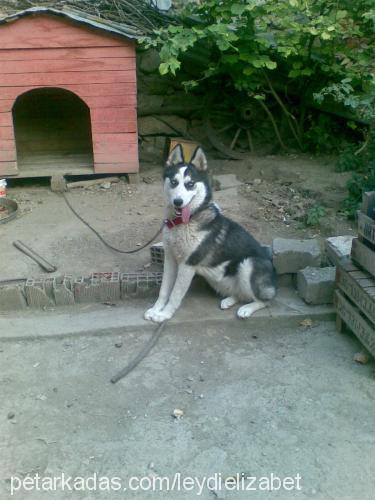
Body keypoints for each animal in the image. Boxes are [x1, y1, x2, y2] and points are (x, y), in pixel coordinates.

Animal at [145, 144, 278, 324]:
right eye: (174, 182)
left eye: (190, 184)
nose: (178, 202)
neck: (184, 222)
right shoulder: (170, 259)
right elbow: (164, 290)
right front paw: (155, 309)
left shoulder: (188, 265)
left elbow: (175, 295)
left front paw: (164, 314)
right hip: (219, 281)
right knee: (242, 295)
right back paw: (230, 301)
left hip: (248, 264)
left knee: (265, 300)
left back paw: (246, 309)